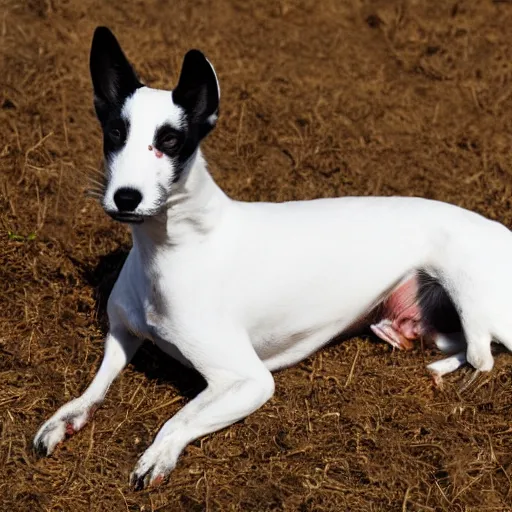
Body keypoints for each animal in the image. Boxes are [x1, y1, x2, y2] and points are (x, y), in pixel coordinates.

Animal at [34, 27, 512, 488]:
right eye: (115, 133)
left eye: (170, 140)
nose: (126, 198)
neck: (175, 248)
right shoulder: (121, 332)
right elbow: (94, 387)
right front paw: (66, 417)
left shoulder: (248, 380)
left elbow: (179, 419)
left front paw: (158, 456)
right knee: (468, 349)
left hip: (473, 297)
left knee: (483, 356)